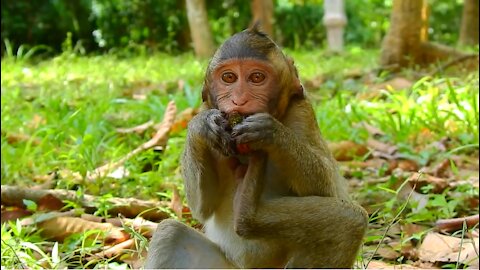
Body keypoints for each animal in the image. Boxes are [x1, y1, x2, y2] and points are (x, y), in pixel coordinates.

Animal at [143, 24, 368, 268]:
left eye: (257, 77)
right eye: (229, 77)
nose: (239, 100)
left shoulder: (302, 112)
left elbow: (330, 188)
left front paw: (270, 133)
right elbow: (202, 207)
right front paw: (200, 125)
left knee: (349, 221)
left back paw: (247, 214)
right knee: (170, 232)